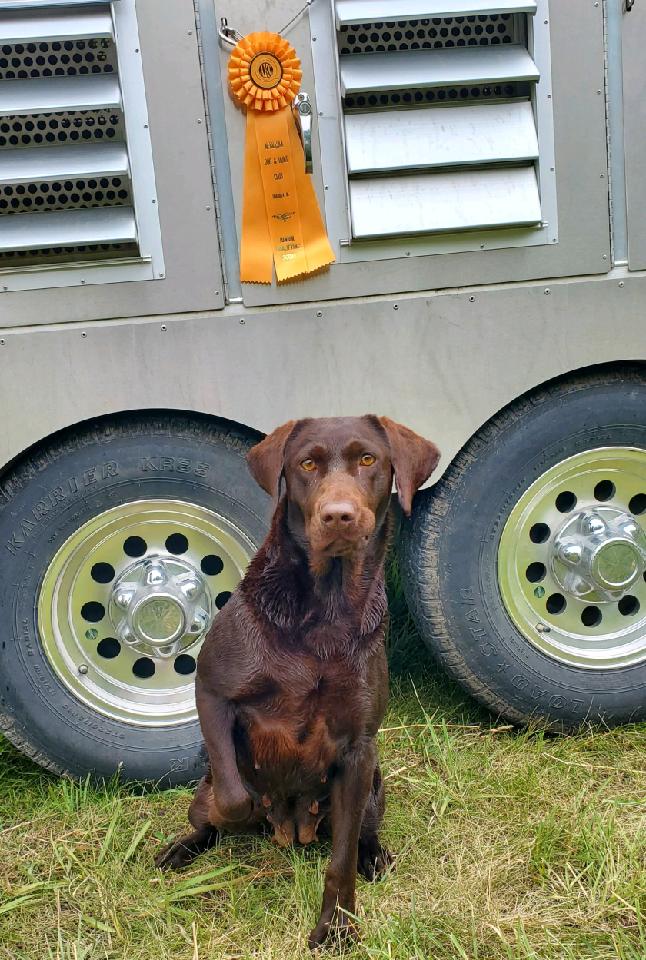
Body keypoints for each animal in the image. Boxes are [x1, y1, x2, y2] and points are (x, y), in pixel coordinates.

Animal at [156, 416, 440, 948]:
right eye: (307, 464)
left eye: (368, 459)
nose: (339, 516)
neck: (325, 609)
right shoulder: (212, 692)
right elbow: (234, 798)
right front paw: (245, 809)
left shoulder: (358, 751)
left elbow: (341, 859)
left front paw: (338, 926)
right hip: (200, 792)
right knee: (208, 819)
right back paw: (184, 847)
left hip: (375, 788)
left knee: (361, 835)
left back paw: (373, 855)